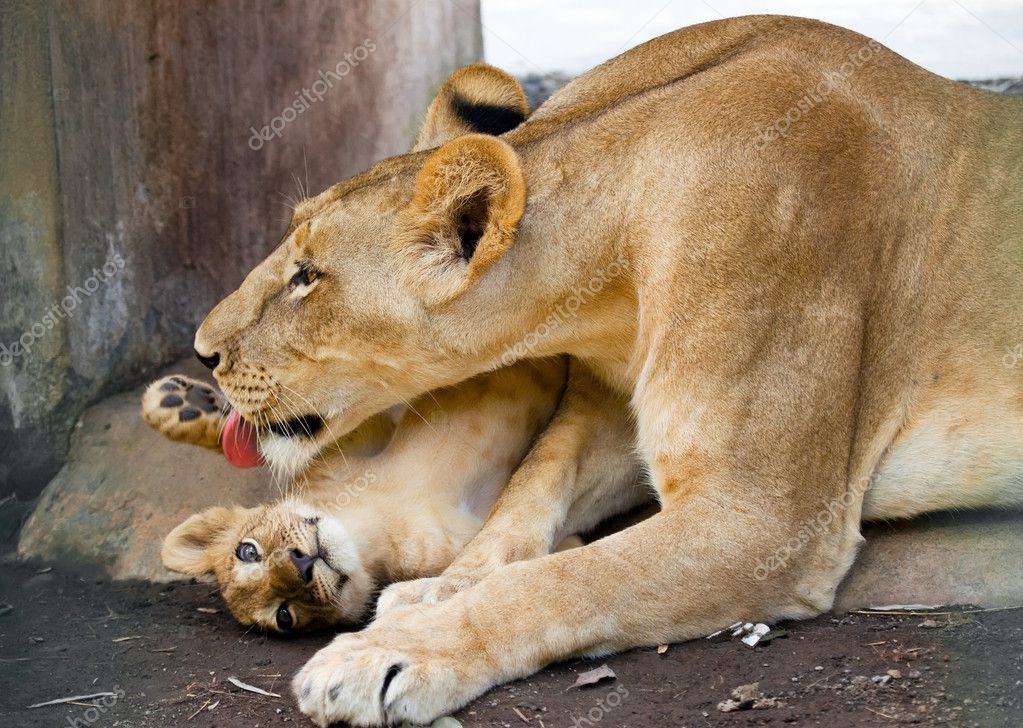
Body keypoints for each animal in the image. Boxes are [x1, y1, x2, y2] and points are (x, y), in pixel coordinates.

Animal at [184, 15, 1020, 726]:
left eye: (307, 278)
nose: (201, 351)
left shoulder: (765, 519)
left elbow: (560, 581)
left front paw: (387, 655)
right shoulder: (614, 410)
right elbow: (524, 499)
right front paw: (433, 593)